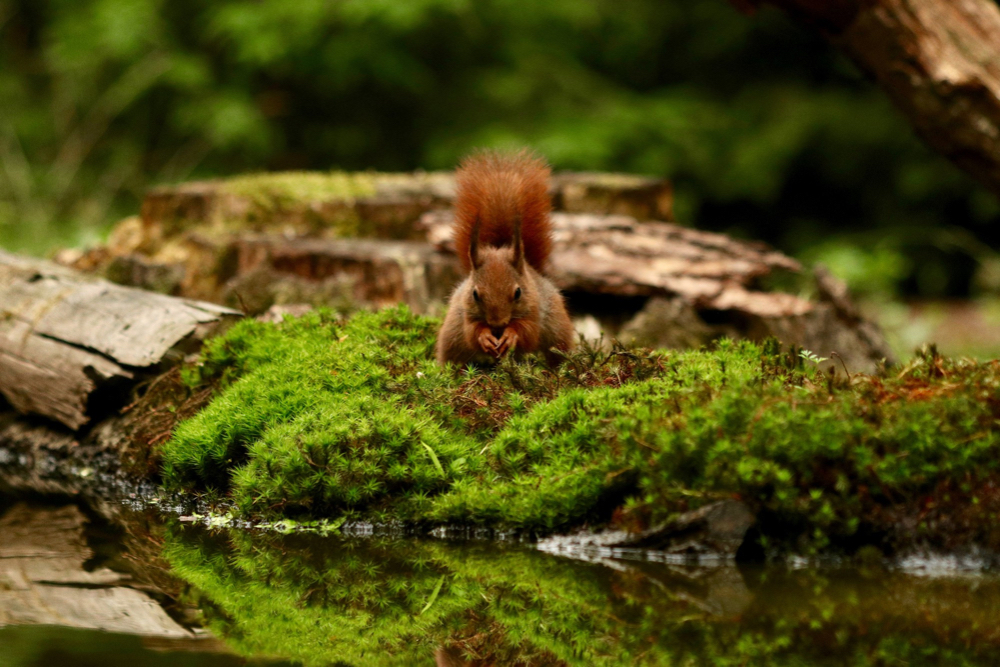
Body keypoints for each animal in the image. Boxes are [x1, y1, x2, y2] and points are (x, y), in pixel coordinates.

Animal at [434, 147, 576, 366]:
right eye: (475, 294)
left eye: (518, 292)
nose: (497, 323)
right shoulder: (467, 315)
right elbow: (472, 332)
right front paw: (485, 337)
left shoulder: (534, 311)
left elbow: (527, 332)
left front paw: (510, 335)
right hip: (451, 335)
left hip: (557, 330)